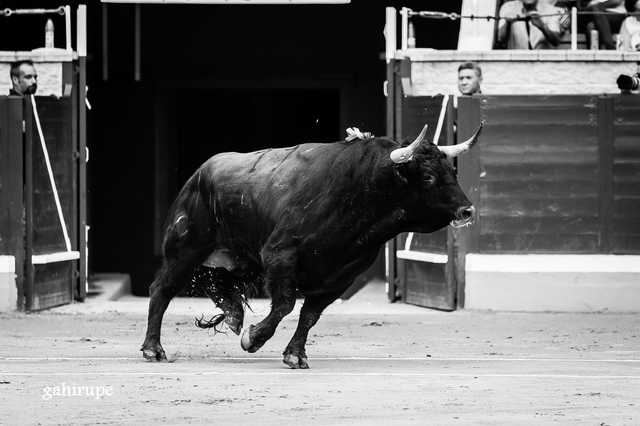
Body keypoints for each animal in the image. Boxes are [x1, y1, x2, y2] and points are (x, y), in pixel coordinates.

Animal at [140, 121, 480, 368]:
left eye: (452, 171)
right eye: (428, 176)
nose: (467, 211)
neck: (360, 192)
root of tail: (200, 173)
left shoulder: (342, 276)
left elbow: (310, 315)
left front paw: (295, 354)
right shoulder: (279, 255)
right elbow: (285, 304)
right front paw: (254, 338)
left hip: (235, 258)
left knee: (220, 286)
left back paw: (234, 316)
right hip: (183, 250)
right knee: (161, 290)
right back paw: (153, 349)